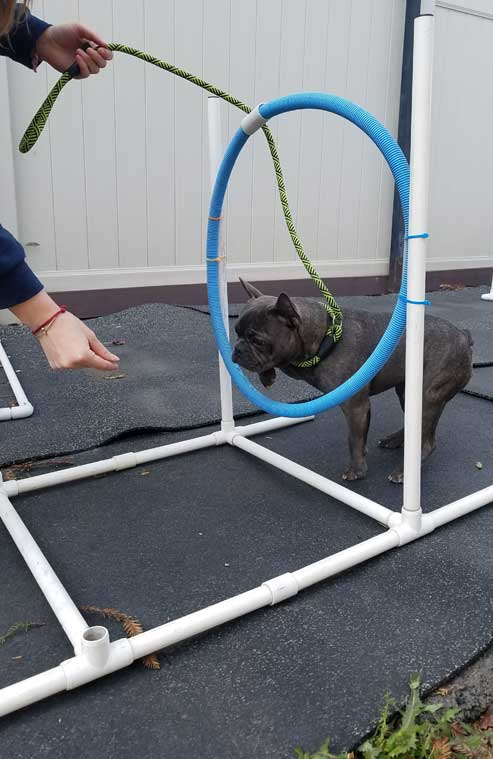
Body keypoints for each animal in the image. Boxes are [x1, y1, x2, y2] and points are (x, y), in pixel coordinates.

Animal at [233, 276, 470, 484]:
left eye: (258, 340)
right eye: (236, 332)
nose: (236, 350)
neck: (325, 334)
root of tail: (464, 336)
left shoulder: (355, 406)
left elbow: (354, 440)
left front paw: (357, 470)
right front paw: (267, 374)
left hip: (427, 397)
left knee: (426, 441)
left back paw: (404, 472)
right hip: (406, 392)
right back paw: (395, 440)